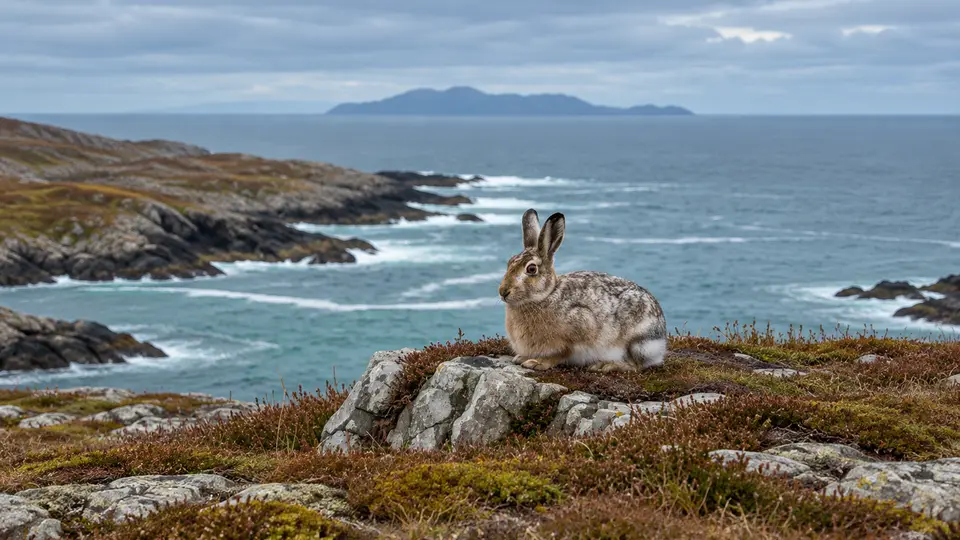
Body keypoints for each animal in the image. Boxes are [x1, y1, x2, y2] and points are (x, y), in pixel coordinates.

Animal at [498, 208, 667, 372]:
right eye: (509, 263)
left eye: (531, 269)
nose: (503, 292)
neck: (545, 295)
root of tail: (662, 333)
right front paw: (521, 357)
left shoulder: (579, 328)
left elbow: (561, 353)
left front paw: (536, 362)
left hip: (640, 342)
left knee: (637, 366)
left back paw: (607, 366)